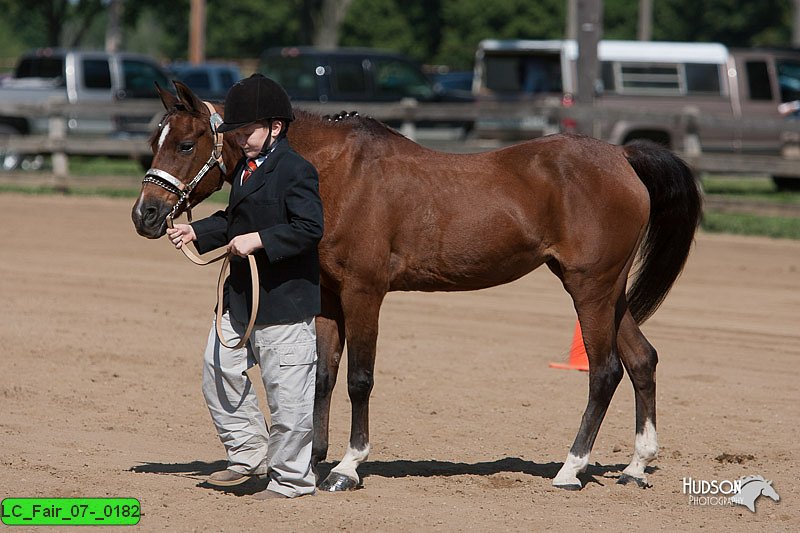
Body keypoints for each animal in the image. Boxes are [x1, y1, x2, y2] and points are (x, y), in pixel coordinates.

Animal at [131, 82, 700, 490]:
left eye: (186, 143)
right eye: (153, 140)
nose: (146, 216)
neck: (333, 175)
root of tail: (622, 157)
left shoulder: (364, 292)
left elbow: (359, 378)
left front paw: (347, 468)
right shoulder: (328, 297)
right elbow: (323, 377)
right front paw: (312, 461)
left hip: (590, 287)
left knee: (604, 372)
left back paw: (570, 470)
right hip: (607, 289)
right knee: (642, 359)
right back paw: (635, 467)